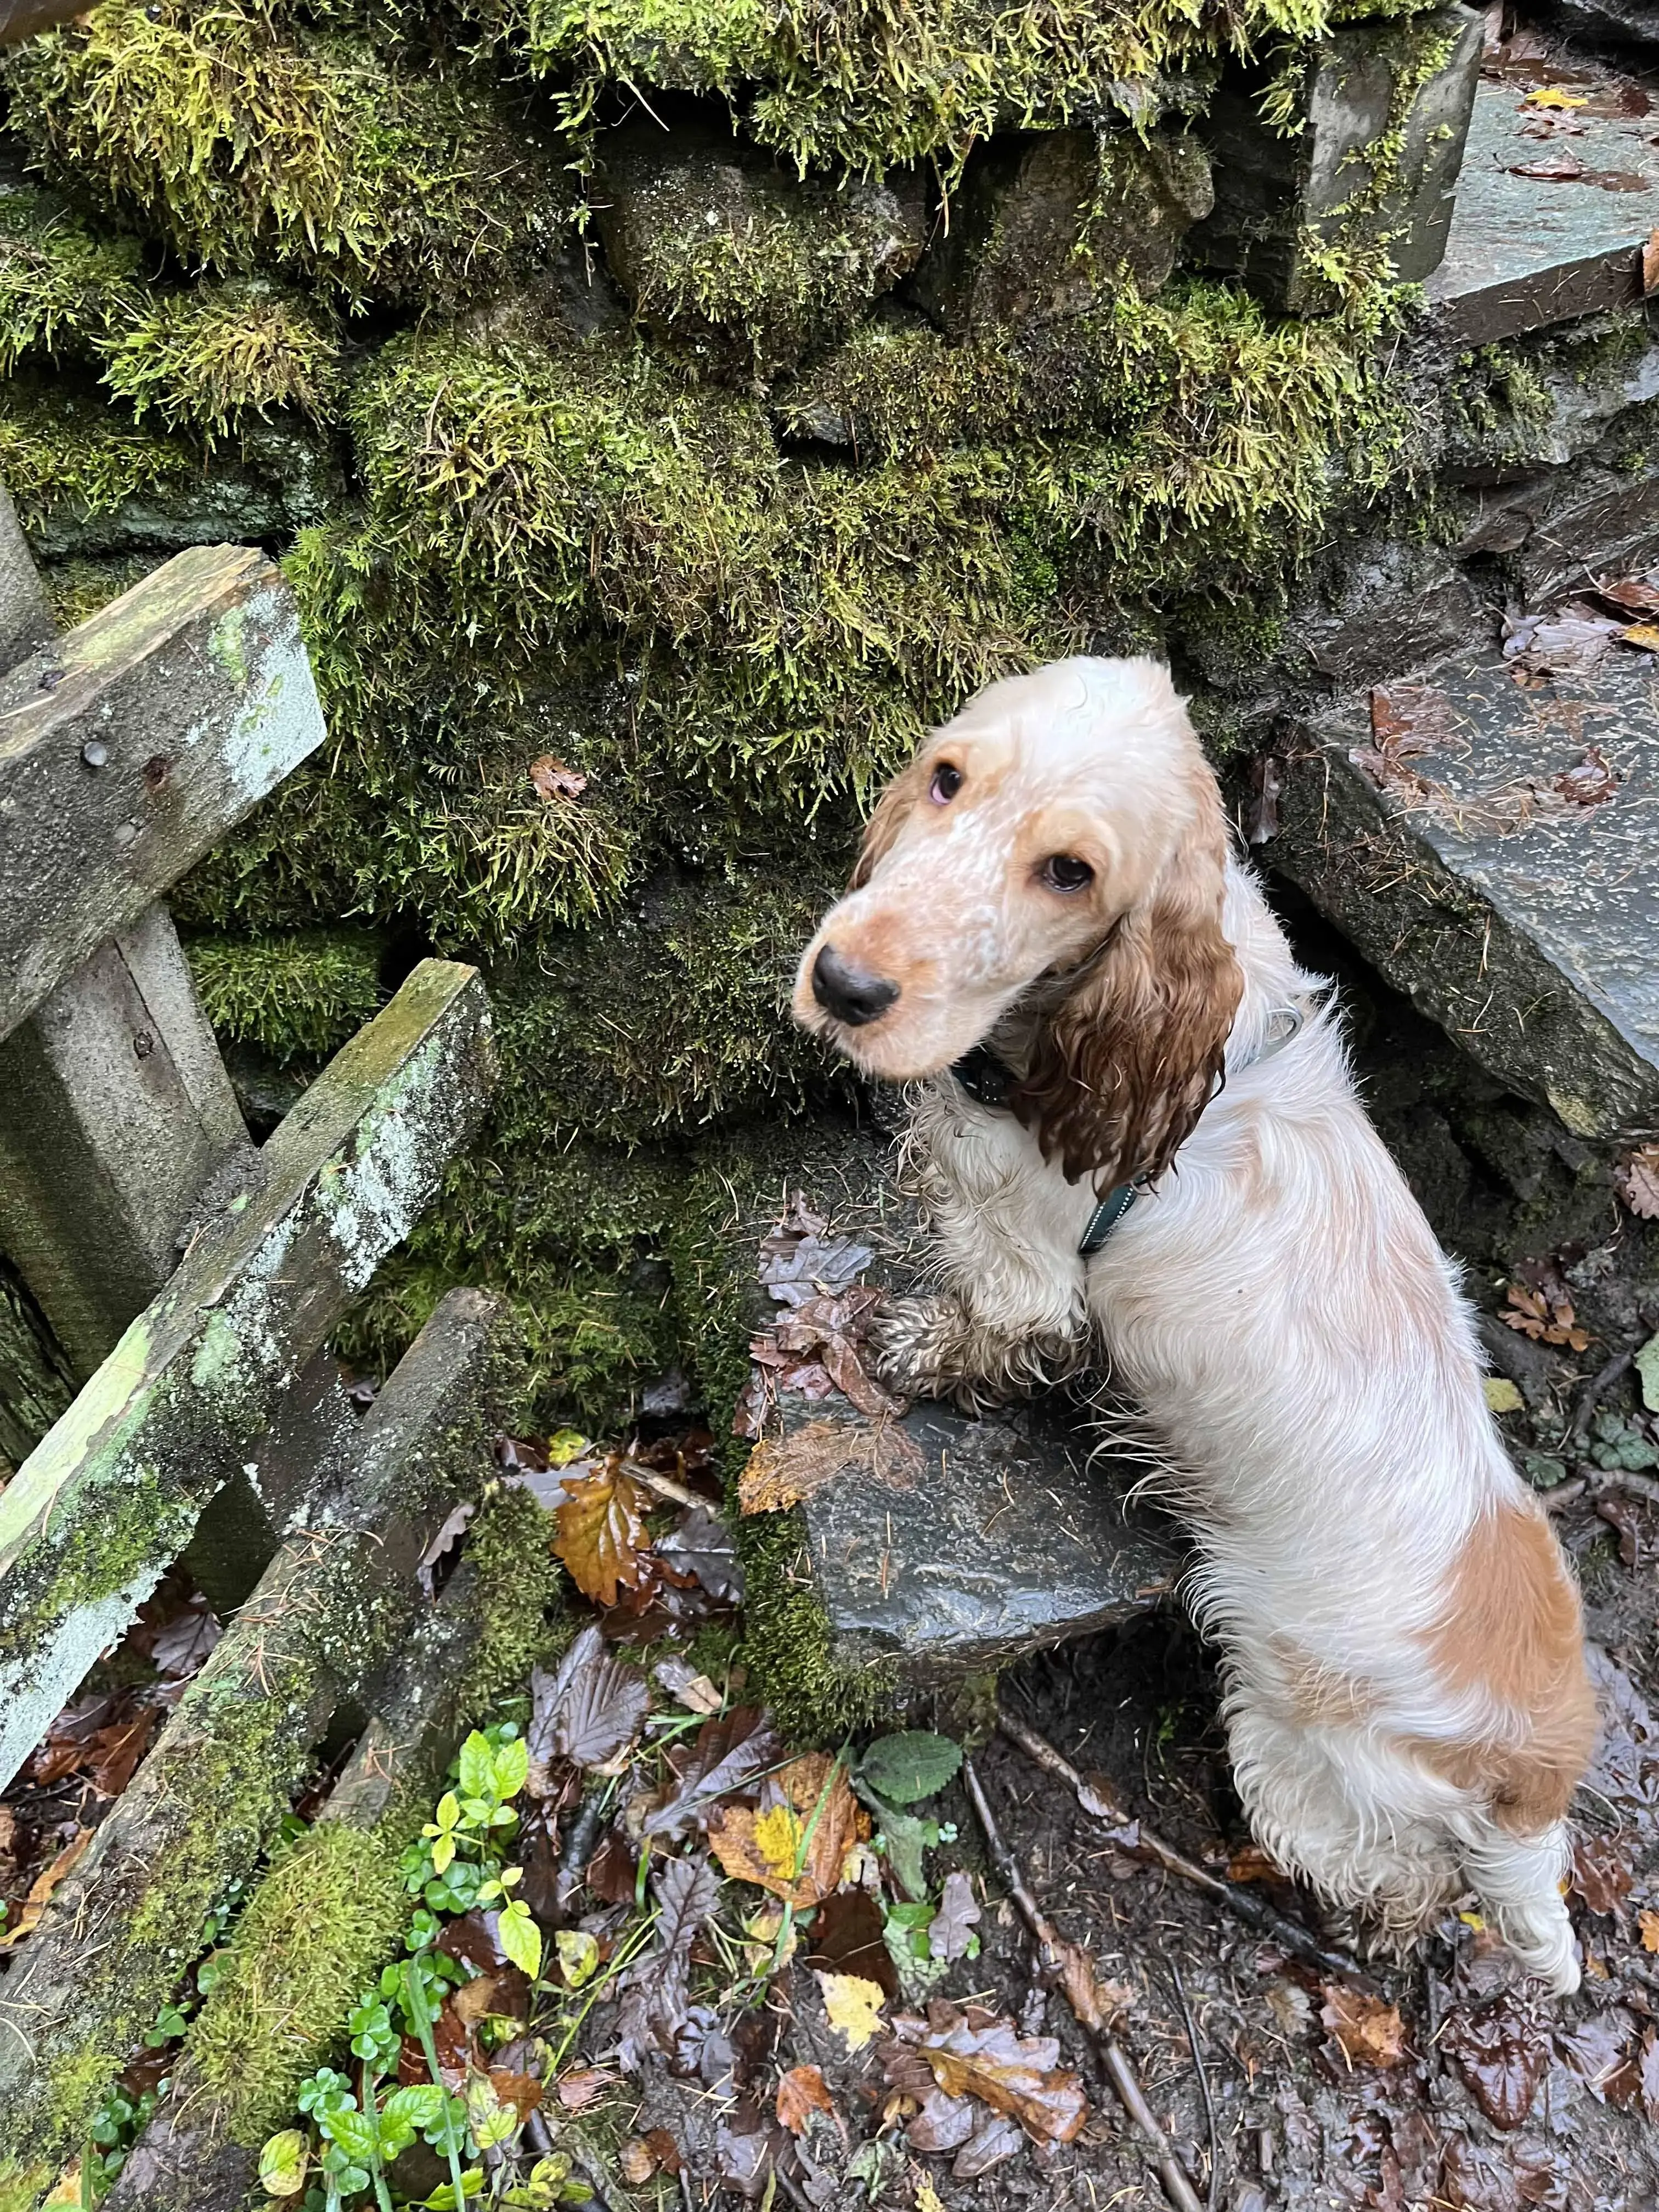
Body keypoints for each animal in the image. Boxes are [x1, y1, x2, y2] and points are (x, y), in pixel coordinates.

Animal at [800, 650, 1601, 1990]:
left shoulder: (1027, 1261)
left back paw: (1365, 1929)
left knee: (1405, 1879)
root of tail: (1535, 1766)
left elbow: (984, 1316)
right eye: (947, 778)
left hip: (1296, 1750)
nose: (842, 984)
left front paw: (913, 1353)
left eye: (1070, 871)